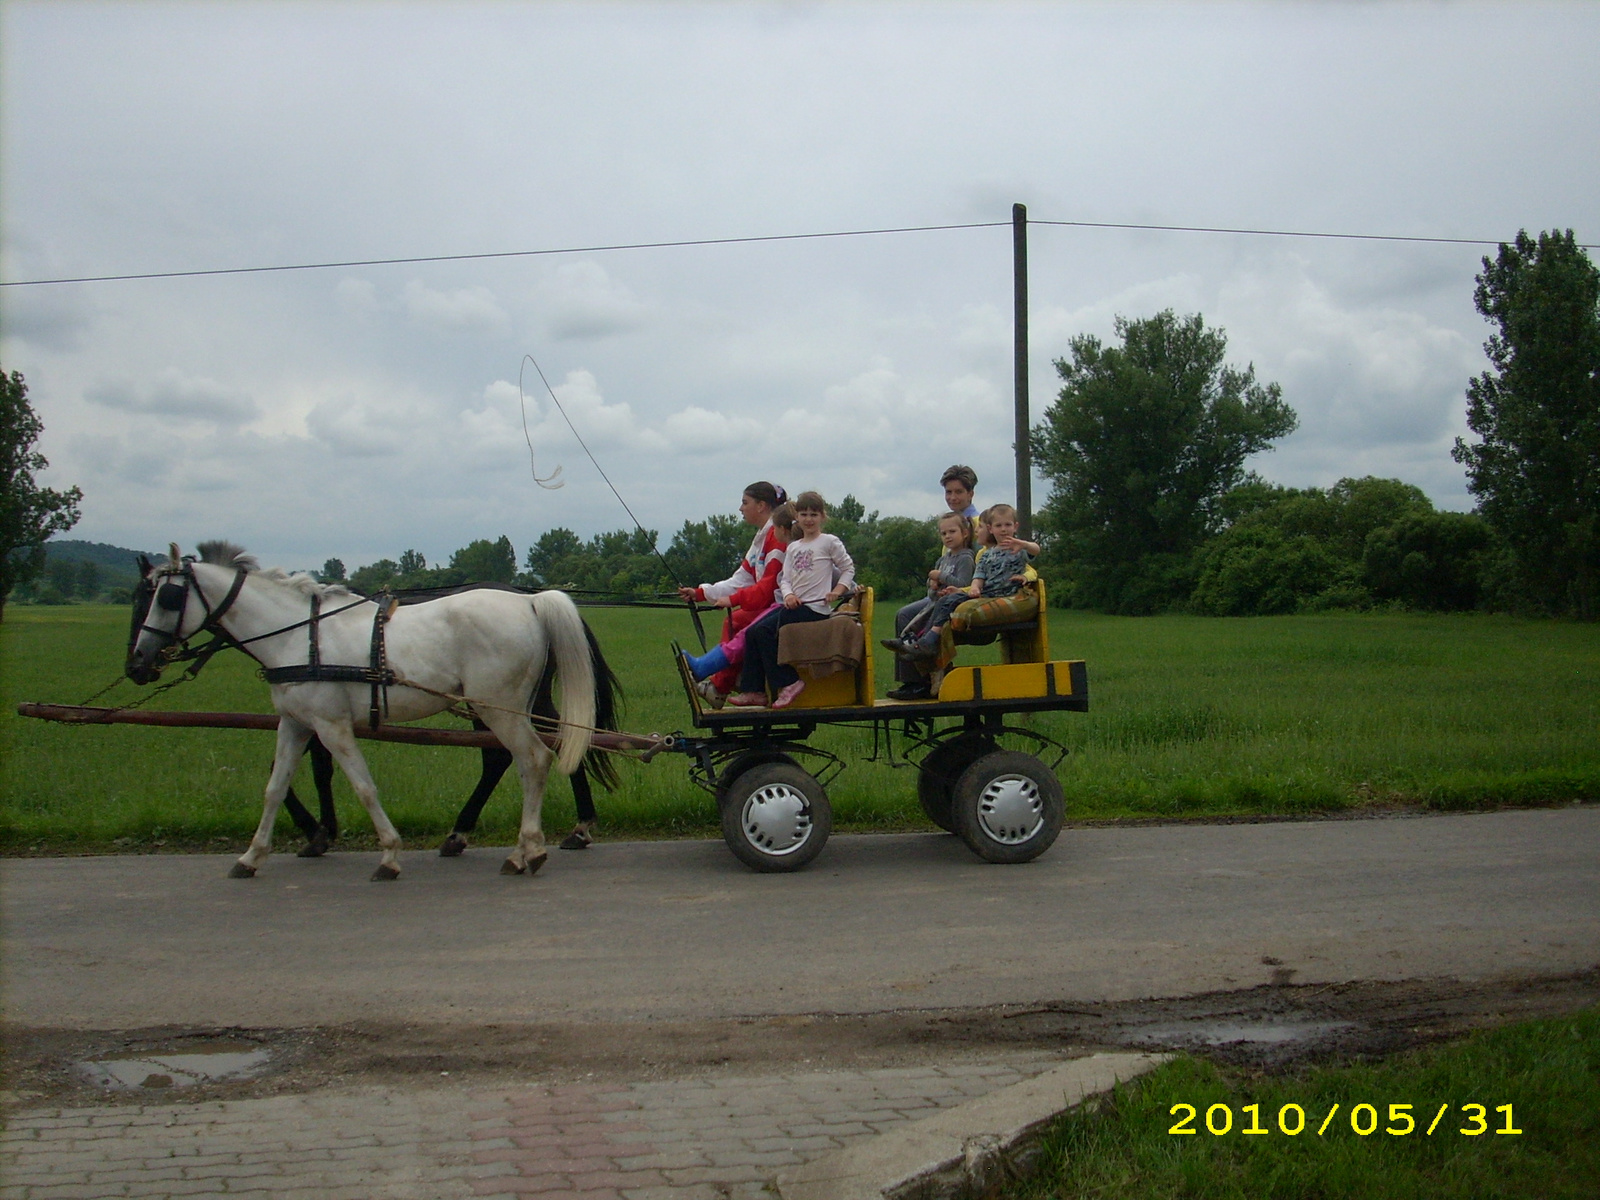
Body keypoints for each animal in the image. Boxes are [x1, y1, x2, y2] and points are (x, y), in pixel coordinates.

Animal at [126, 547, 595, 883]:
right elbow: (275, 787)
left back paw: (526, 851)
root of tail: (530, 602)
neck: (300, 637)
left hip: (499, 708)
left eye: (166, 597)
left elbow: (364, 787)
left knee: (534, 759)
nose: (138, 664)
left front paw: (388, 854)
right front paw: (252, 856)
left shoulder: (331, 726)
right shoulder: (295, 724)